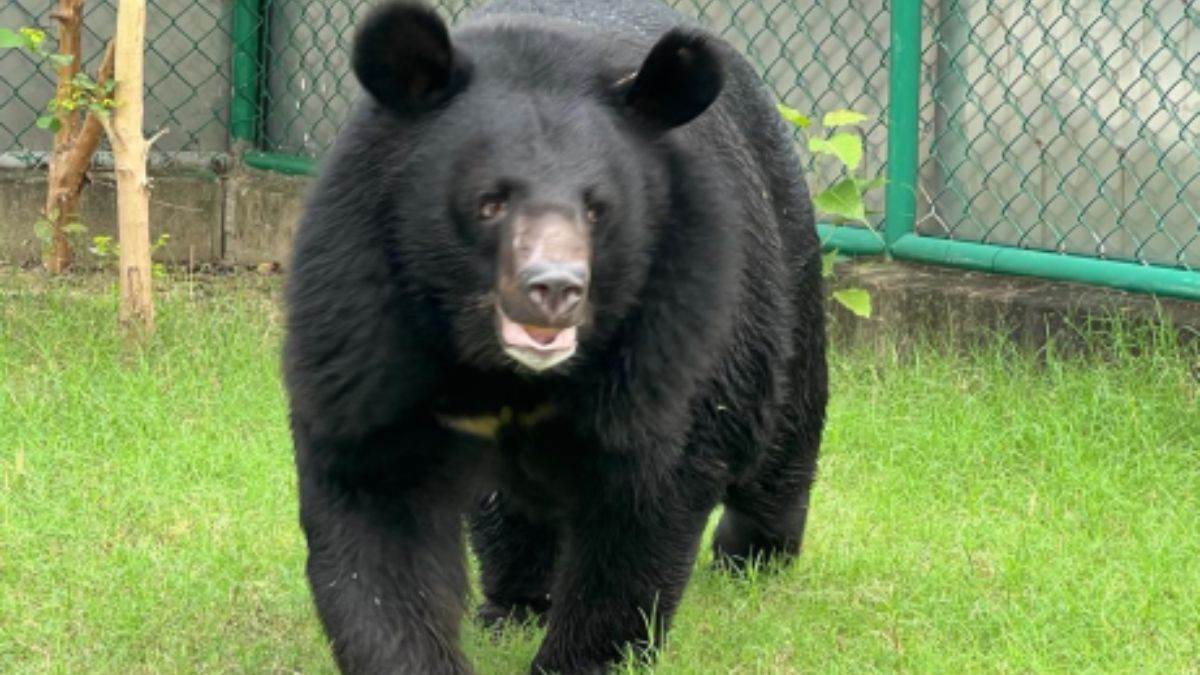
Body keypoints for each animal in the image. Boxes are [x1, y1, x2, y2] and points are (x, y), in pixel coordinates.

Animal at [282, 0, 828, 673]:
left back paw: (754, 556)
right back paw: (514, 605)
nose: (555, 288)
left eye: (598, 209)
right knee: (510, 518)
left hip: (783, 271)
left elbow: (647, 500)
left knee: (785, 431)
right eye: (489, 202)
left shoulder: (673, 325)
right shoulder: (363, 314)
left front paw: (583, 658)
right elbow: (376, 507)